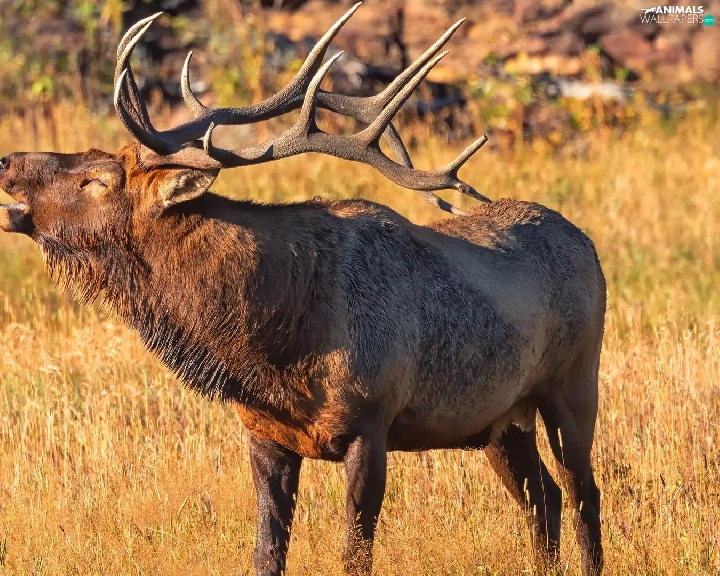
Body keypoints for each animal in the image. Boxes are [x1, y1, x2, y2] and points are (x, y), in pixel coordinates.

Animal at [0, 6, 605, 575]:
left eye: (96, 180)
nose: (7, 160)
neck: (271, 347)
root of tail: (588, 245)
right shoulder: (265, 434)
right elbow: (267, 553)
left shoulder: (371, 424)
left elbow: (355, 553)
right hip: (498, 420)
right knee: (543, 499)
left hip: (573, 385)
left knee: (583, 494)